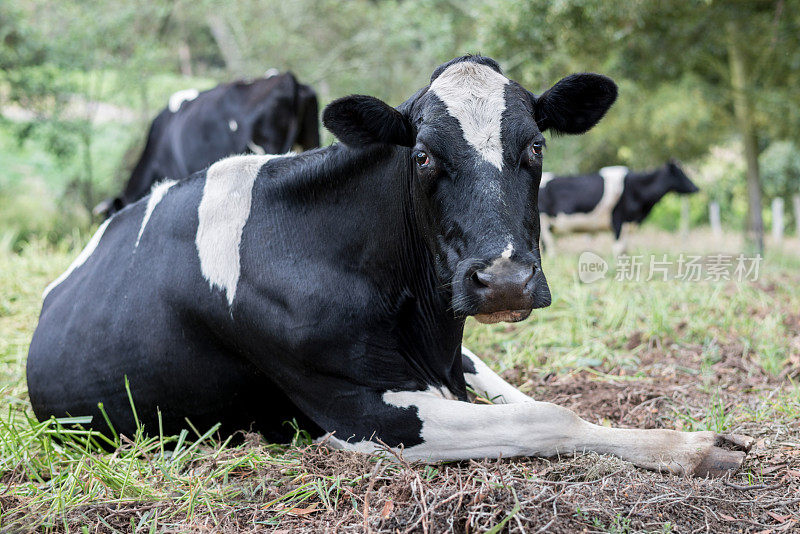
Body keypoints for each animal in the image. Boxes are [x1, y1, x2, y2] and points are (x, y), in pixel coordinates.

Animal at [536, 160, 700, 254]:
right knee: (548, 248)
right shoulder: (618, 220)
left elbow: (625, 249)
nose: (696, 188)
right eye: (680, 173)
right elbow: (618, 248)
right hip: (543, 223)